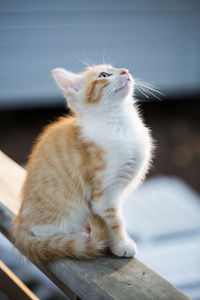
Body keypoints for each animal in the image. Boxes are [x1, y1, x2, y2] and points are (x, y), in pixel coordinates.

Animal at [11, 64, 152, 262]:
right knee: (40, 230)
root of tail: (19, 221)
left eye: (115, 68)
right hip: (67, 208)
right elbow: (114, 220)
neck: (120, 122)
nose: (125, 70)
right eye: (104, 75)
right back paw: (78, 236)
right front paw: (121, 244)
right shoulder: (104, 192)